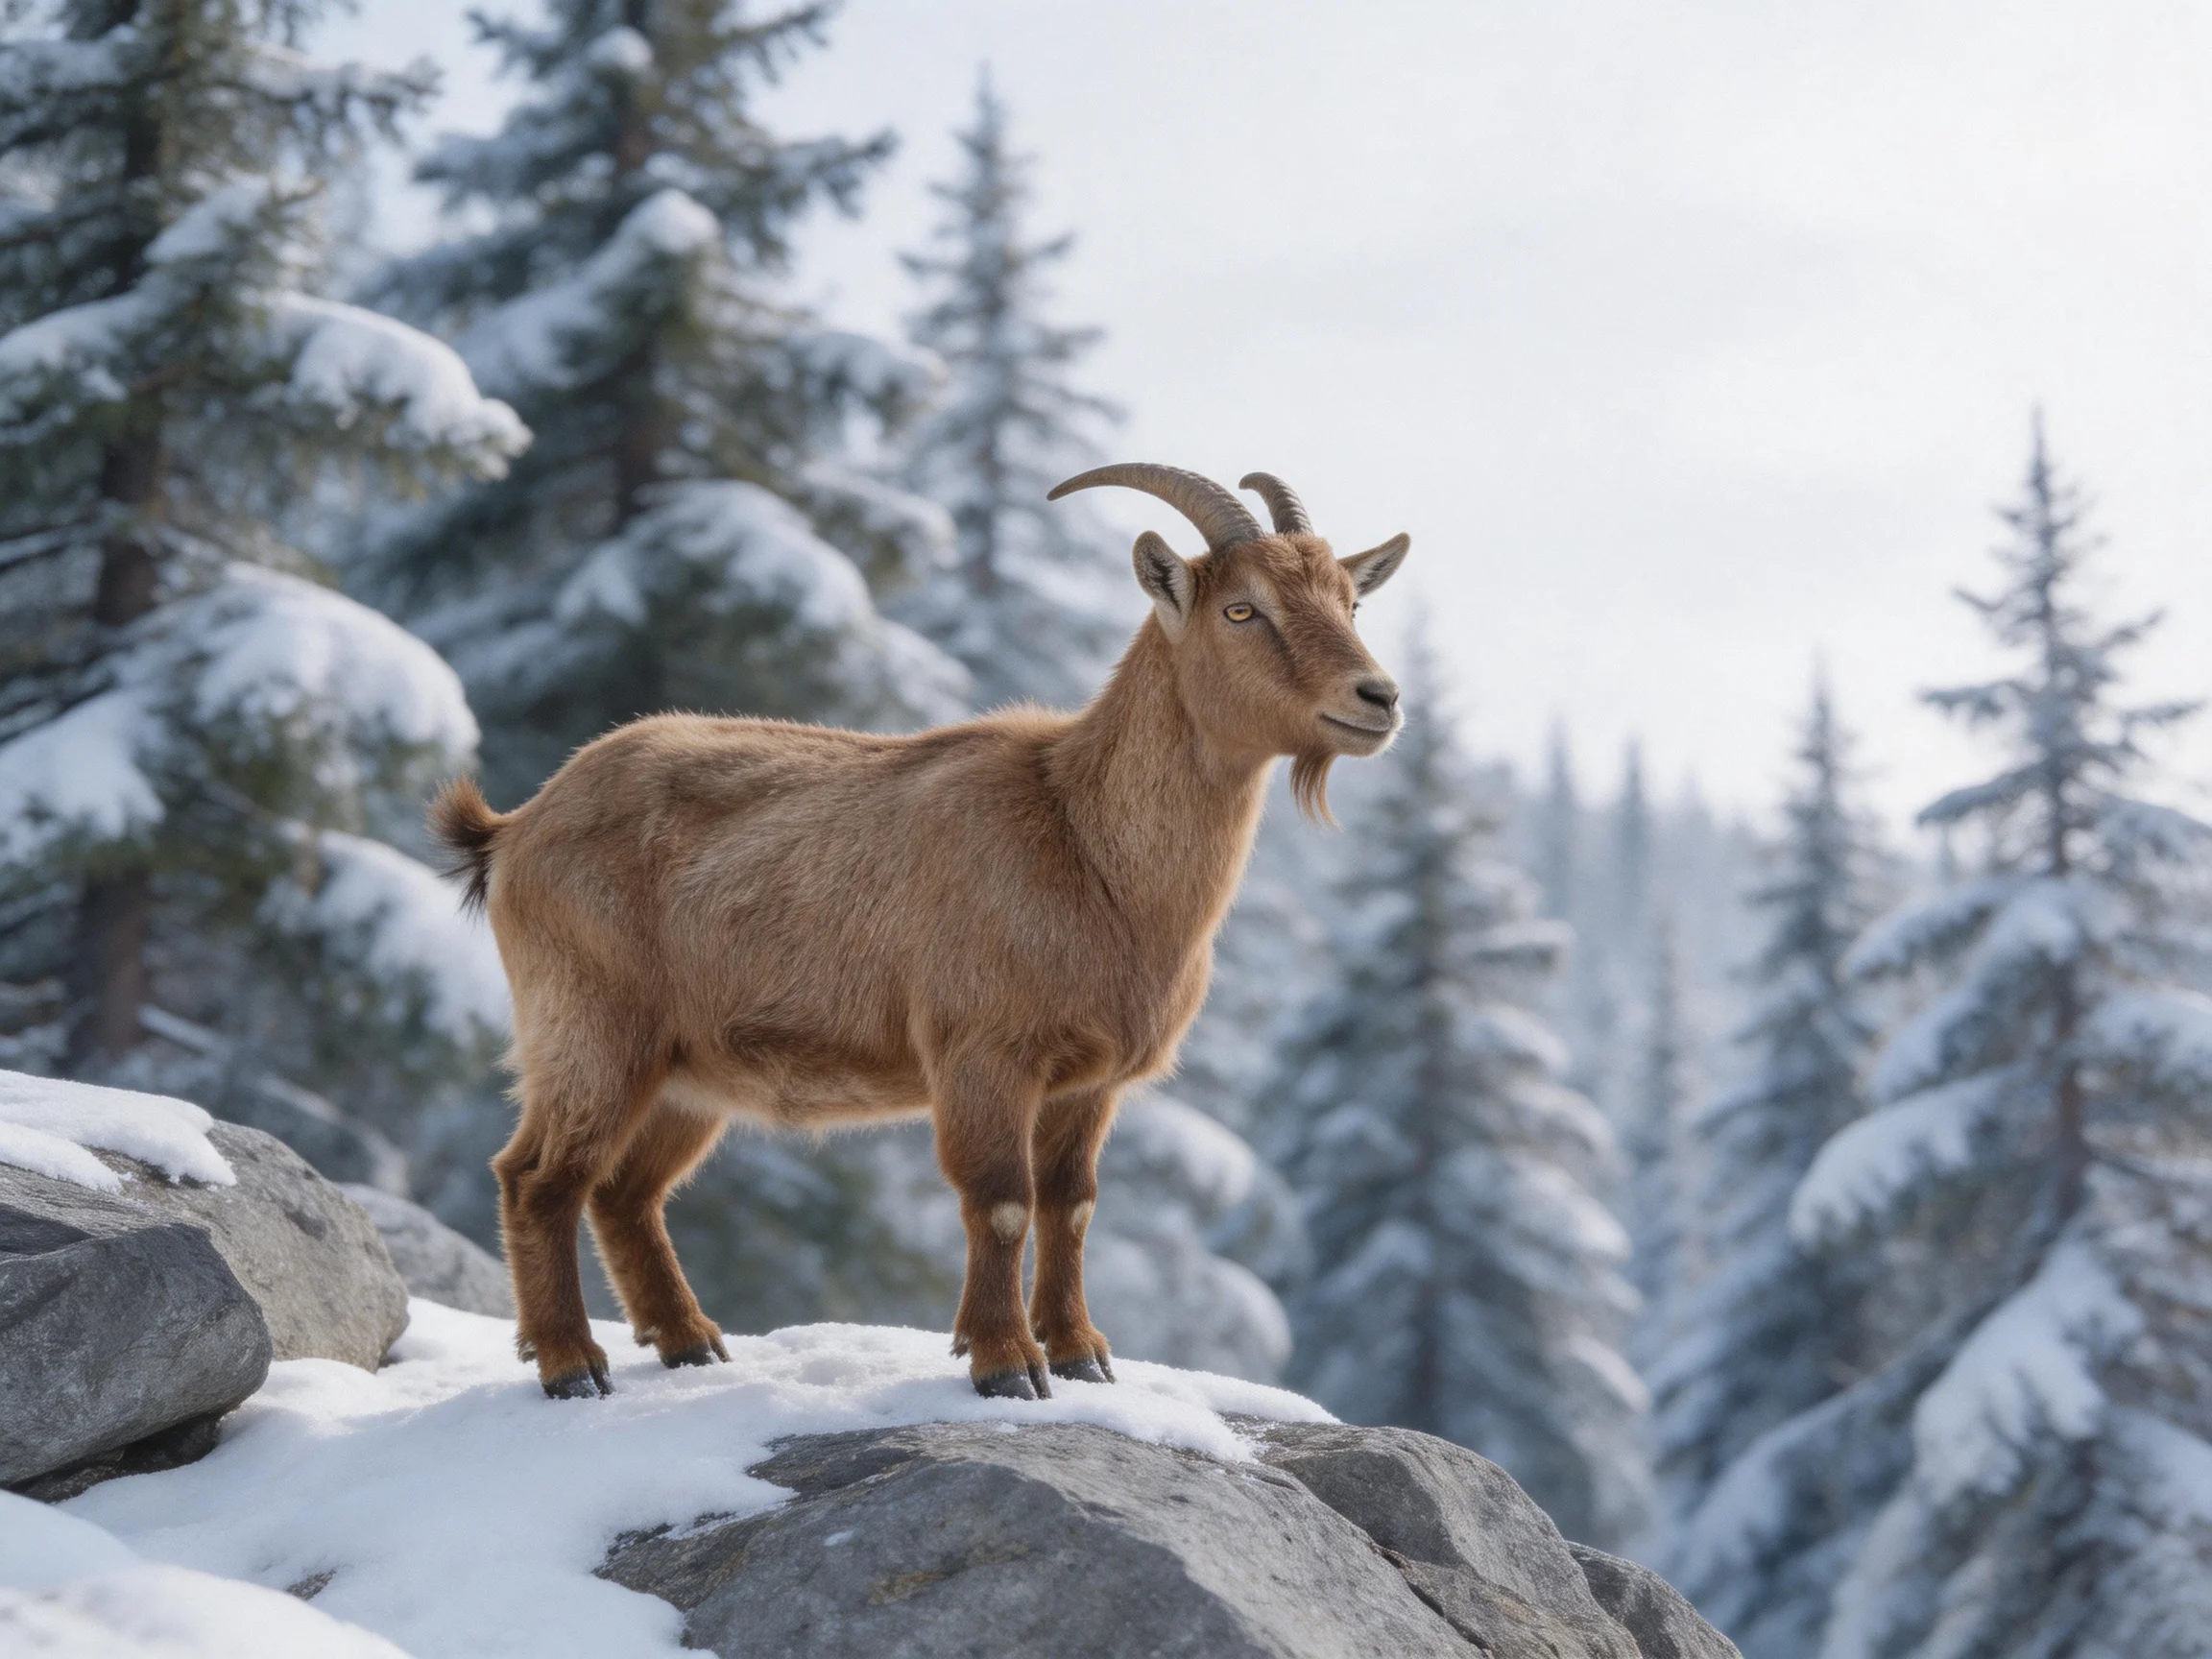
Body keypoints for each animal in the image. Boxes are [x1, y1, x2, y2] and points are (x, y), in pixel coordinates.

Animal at [432, 464, 1411, 1399]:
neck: (1086, 843)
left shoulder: (1087, 1083)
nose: (1379, 697)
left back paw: (690, 1344)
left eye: (1351, 601)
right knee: (537, 1176)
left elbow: (1071, 1206)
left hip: (684, 1074)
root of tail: (515, 828)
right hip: (593, 1029)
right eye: (1242, 608)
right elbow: (1002, 1202)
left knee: (626, 1195)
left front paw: (1082, 1356)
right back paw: (570, 1365)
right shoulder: (982, 1053)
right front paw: (1006, 1363)